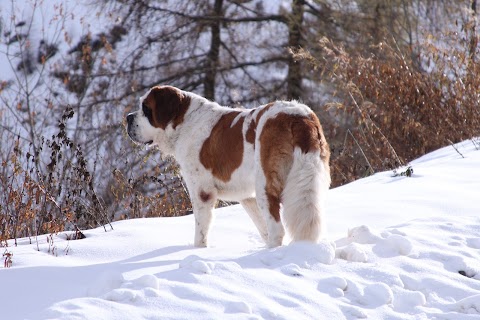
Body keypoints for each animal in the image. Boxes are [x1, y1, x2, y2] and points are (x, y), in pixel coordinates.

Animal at [125, 85, 332, 248]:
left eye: (146, 109)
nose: (127, 117)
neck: (183, 122)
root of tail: (298, 117)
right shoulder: (246, 196)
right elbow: (261, 227)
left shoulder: (202, 191)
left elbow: (201, 229)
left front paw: (197, 250)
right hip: (309, 179)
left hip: (265, 185)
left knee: (277, 229)